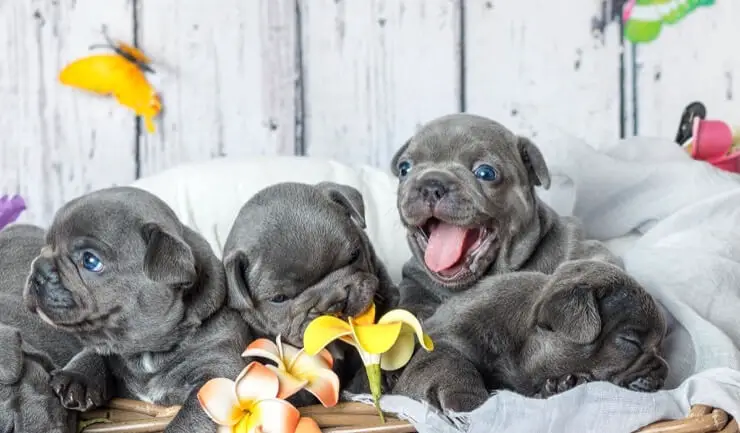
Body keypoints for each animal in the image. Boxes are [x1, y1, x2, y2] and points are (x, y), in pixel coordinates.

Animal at [23, 186, 254, 432]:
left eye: (90, 261)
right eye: (45, 247)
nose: (37, 269)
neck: (146, 354)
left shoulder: (217, 371)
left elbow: (190, 416)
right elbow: (94, 351)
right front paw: (76, 377)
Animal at [390, 113, 620, 318]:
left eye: (485, 173)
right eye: (404, 169)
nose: (431, 184)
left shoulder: (585, 251)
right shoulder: (414, 276)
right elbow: (412, 297)